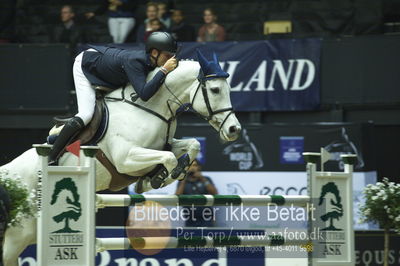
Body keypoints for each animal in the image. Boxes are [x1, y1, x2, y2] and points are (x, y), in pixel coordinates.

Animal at [0, 51, 241, 264]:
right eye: (215, 89)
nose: (234, 129)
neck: (149, 106)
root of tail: (10, 179)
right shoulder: (126, 158)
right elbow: (169, 158)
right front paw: (159, 177)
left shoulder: (163, 145)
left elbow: (192, 145)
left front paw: (162, 175)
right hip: (18, 236)